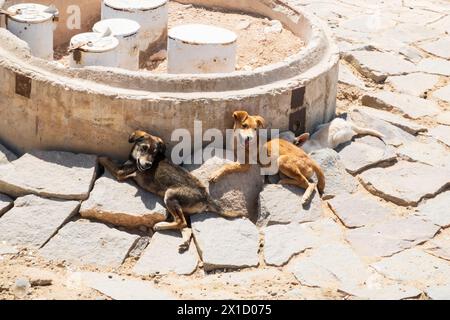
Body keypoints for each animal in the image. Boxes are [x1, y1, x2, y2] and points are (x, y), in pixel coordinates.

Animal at [98, 130, 243, 252]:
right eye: (144, 148)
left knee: (181, 222)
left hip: (170, 195)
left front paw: (100, 158)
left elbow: (105, 159)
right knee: (186, 227)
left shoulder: (120, 172)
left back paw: (160, 225)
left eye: (155, 153)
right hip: (182, 209)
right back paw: (184, 242)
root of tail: (205, 196)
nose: (148, 165)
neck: (135, 158)